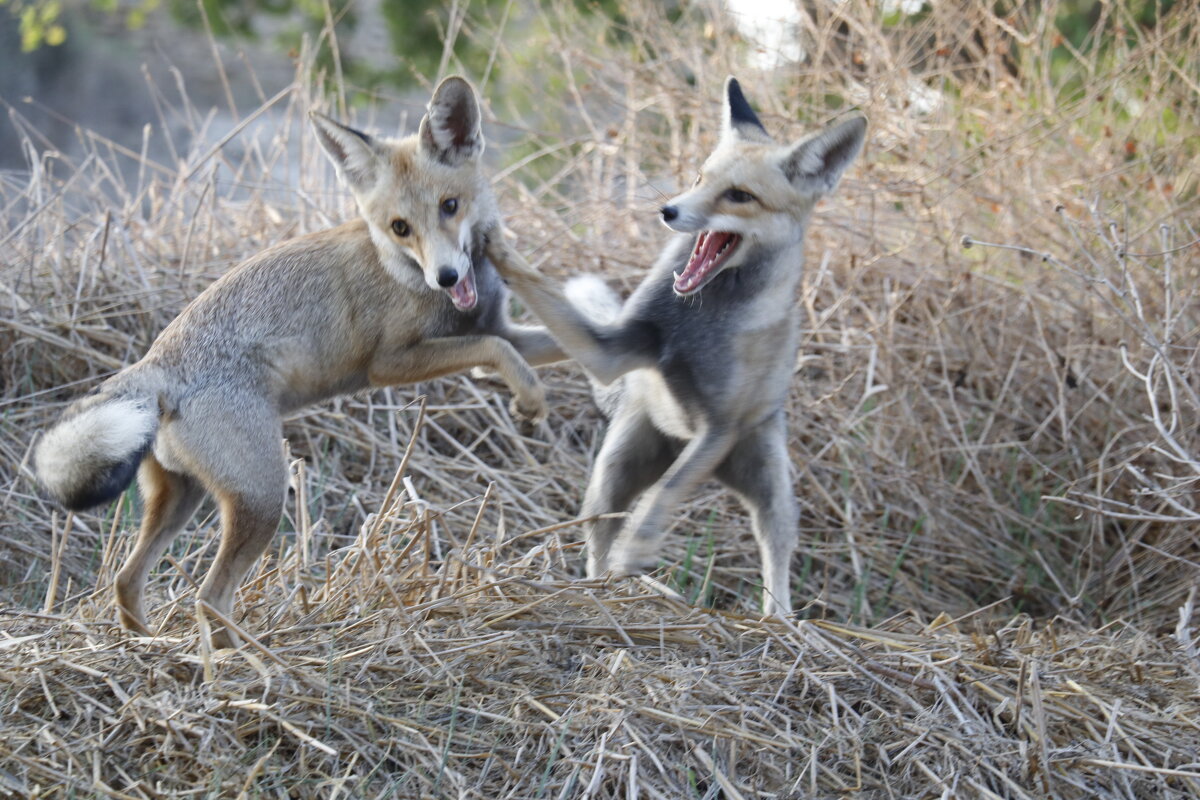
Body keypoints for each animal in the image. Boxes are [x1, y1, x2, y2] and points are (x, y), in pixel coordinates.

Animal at [31, 76, 566, 652]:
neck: (407, 272)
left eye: (450, 205)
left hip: (182, 498)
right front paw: (530, 398)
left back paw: (148, 647)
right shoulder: (392, 362)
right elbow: (494, 352)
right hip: (264, 498)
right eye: (400, 227)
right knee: (207, 598)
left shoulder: (502, 327)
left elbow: (543, 345)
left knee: (126, 582)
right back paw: (253, 661)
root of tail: (155, 363)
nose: (445, 276)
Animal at [482, 77, 868, 618]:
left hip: (766, 486)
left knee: (772, 550)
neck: (697, 322)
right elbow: (537, 290)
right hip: (611, 478)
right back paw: (596, 591)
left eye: (740, 196)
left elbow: (664, 496)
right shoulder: (613, 349)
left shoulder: (718, 427)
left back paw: (779, 620)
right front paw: (493, 248)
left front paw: (640, 547)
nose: (668, 211)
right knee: (601, 538)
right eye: (700, 177)